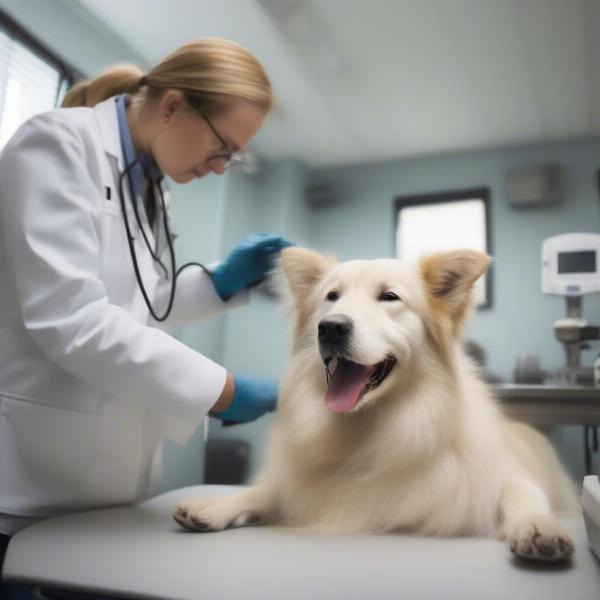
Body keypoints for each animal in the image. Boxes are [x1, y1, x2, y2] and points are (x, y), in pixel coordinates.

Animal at [172, 246, 576, 560]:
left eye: (389, 297)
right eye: (331, 297)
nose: (330, 327)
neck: (370, 429)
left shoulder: (497, 478)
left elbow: (520, 489)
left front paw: (536, 525)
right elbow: (266, 493)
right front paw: (216, 505)